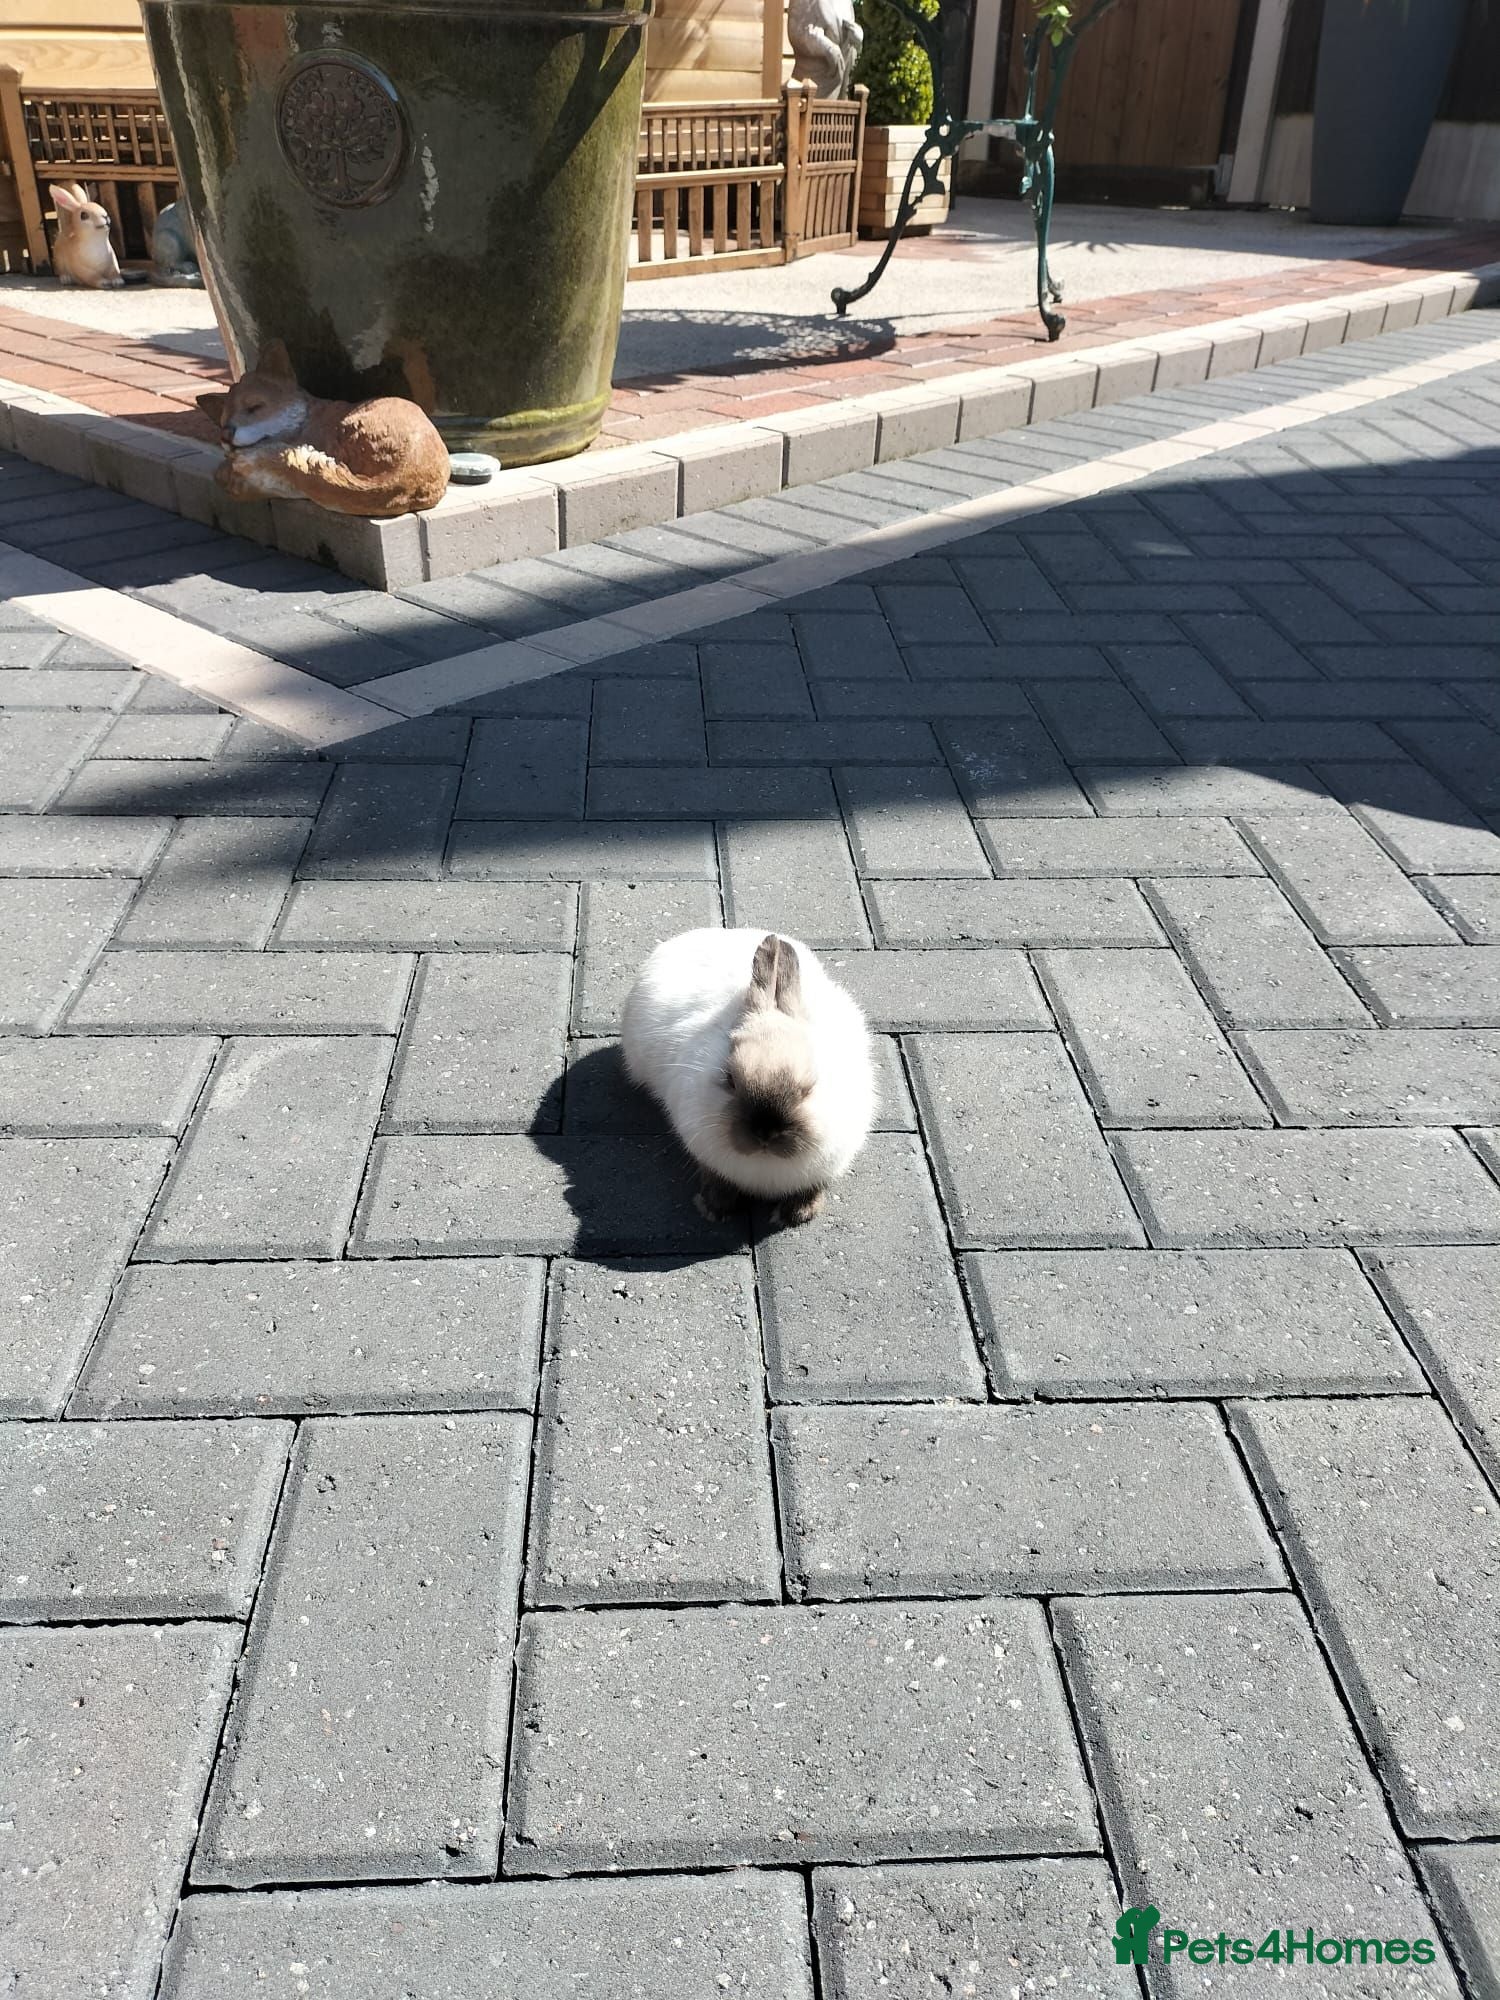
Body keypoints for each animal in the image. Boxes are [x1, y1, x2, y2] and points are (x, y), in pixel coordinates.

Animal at [621, 927, 875, 1226]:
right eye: (730, 1079)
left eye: (810, 1087)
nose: (765, 1132)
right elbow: (717, 1180)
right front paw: (714, 1209)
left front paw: (796, 1214)